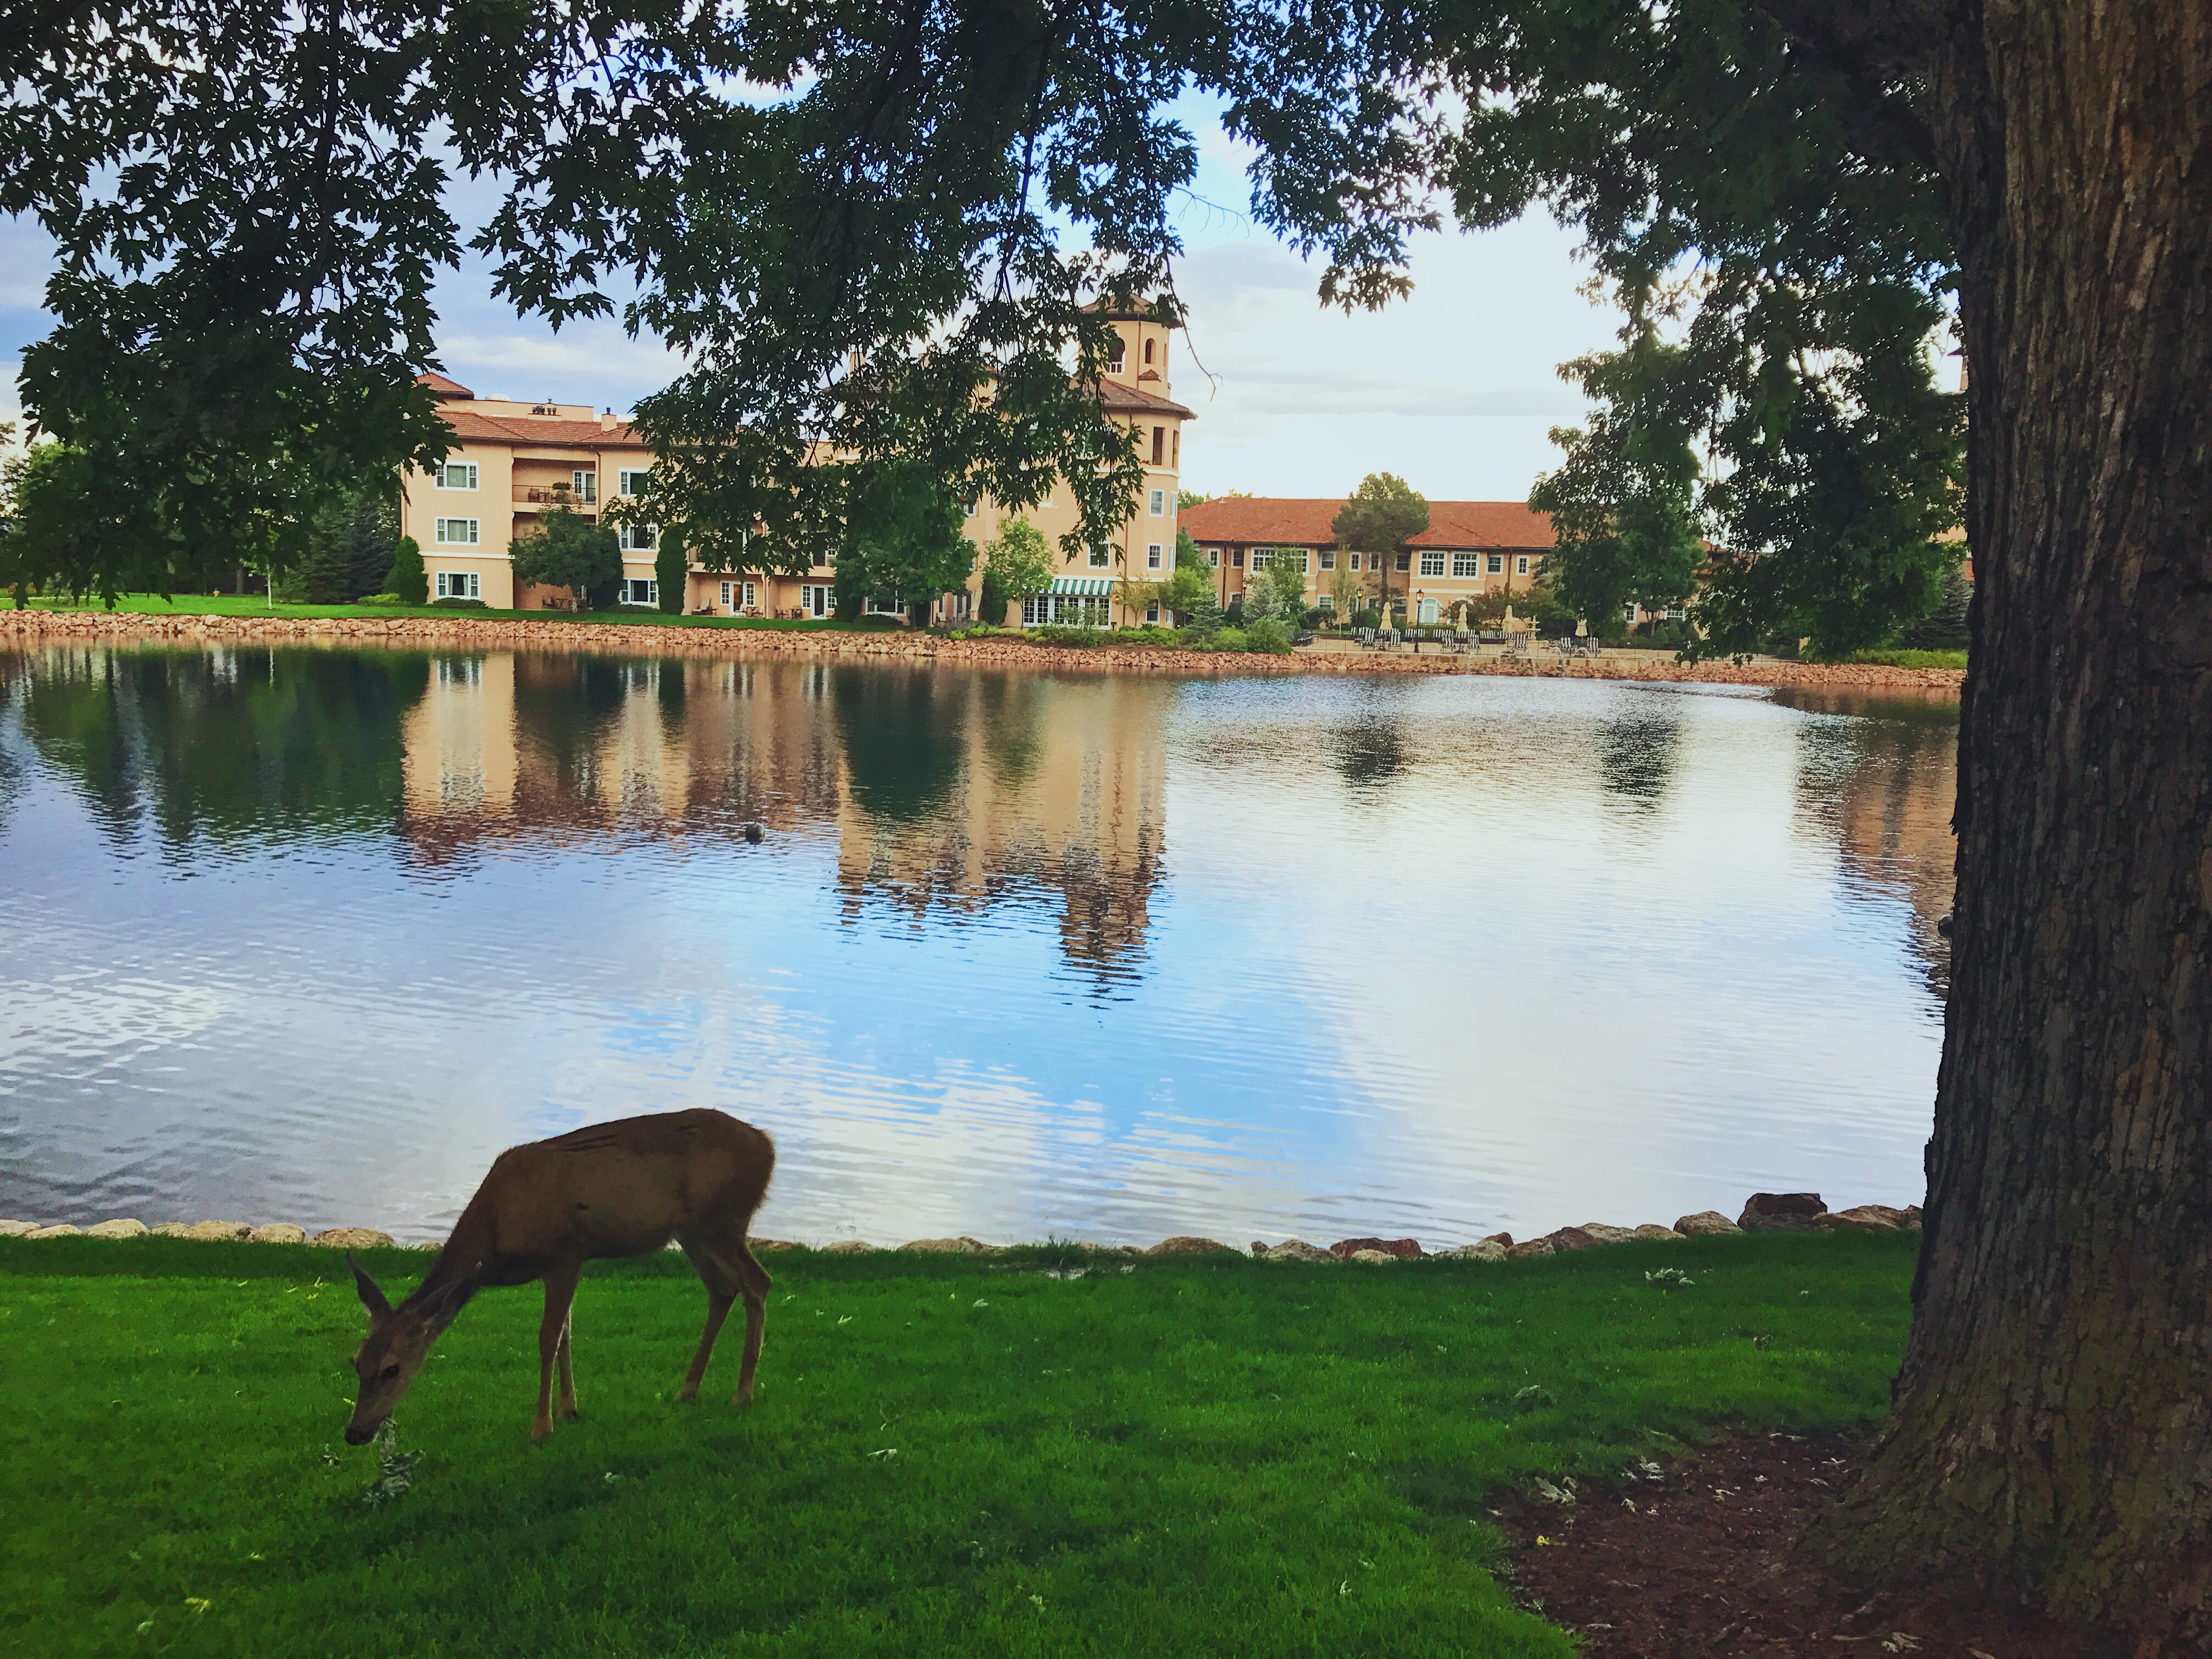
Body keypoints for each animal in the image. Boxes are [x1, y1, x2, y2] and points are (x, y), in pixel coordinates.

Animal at [343, 1108, 775, 1446]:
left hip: (722, 1221)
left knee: (758, 1283)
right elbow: (567, 1331)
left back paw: (743, 1395)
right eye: (356, 1363)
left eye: (392, 1369)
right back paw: (689, 1389)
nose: (355, 1433)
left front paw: (542, 1426)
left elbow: (549, 1337)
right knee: (723, 1290)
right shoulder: (562, 1265)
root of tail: (768, 1146)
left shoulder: (567, 1252)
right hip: (693, 1232)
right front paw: (569, 1409)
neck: (495, 1231)